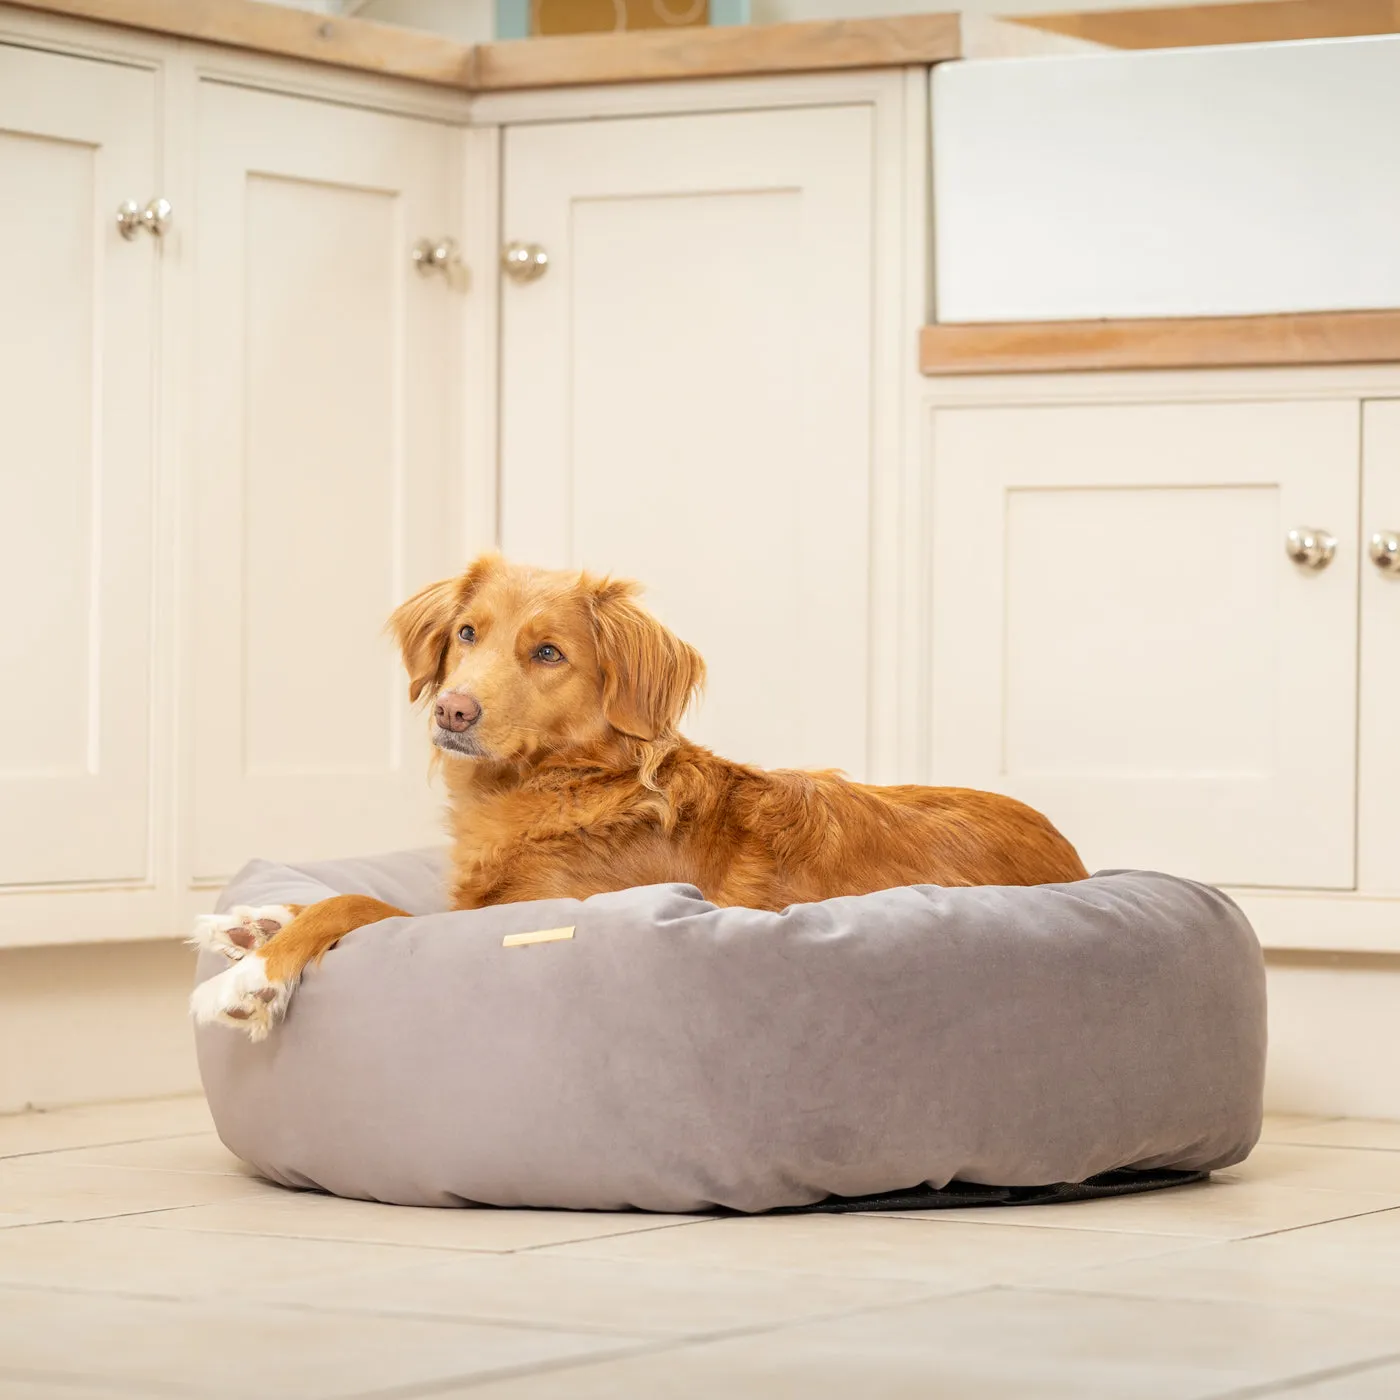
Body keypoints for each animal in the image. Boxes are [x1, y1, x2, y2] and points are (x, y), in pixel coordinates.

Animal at [191, 557, 1080, 1041]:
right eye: (468, 634)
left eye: (548, 653)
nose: (453, 710)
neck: (565, 785)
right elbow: (335, 896)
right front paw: (249, 923)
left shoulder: (504, 916)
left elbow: (356, 904)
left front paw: (252, 981)